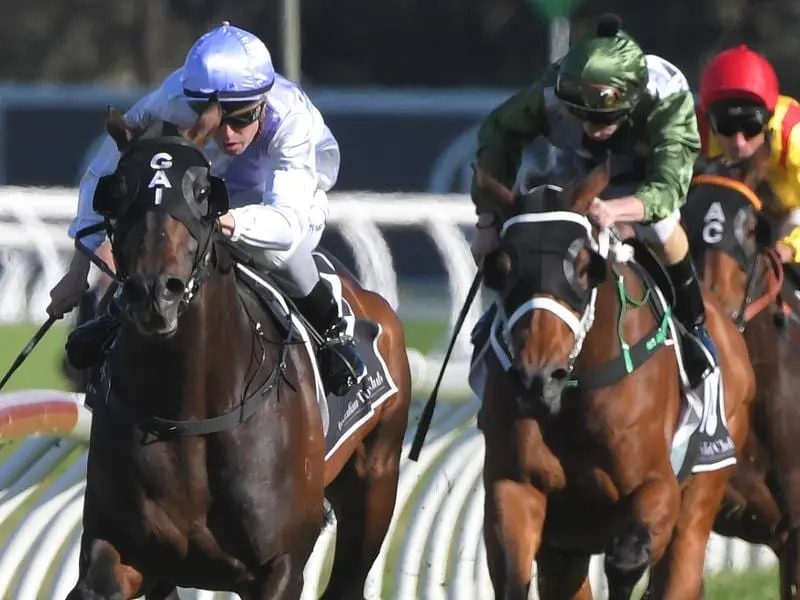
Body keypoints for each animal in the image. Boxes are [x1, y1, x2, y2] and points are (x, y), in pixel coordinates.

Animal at [65, 101, 410, 596]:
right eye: (118, 191)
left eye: (202, 192)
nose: (154, 292)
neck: (186, 412)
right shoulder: (119, 552)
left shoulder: (279, 566)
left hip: (374, 486)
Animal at [468, 162, 756, 596]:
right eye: (502, 269)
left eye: (585, 267)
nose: (538, 379)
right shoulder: (515, 488)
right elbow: (512, 577)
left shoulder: (656, 487)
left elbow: (626, 559)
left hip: (707, 483)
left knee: (681, 565)